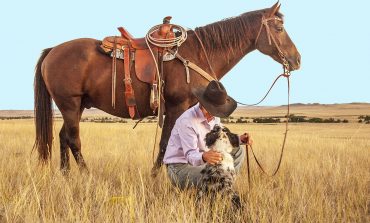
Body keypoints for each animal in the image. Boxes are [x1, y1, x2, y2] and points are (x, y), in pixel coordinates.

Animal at [33, 2, 300, 176]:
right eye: (278, 28)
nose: (297, 60)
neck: (197, 54)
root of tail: (53, 50)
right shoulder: (175, 107)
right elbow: (165, 143)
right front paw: (155, 176)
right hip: (69, 104)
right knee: (74, 139)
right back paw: (85, 174)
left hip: (76, 106)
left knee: (63, 137)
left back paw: (66, 174)